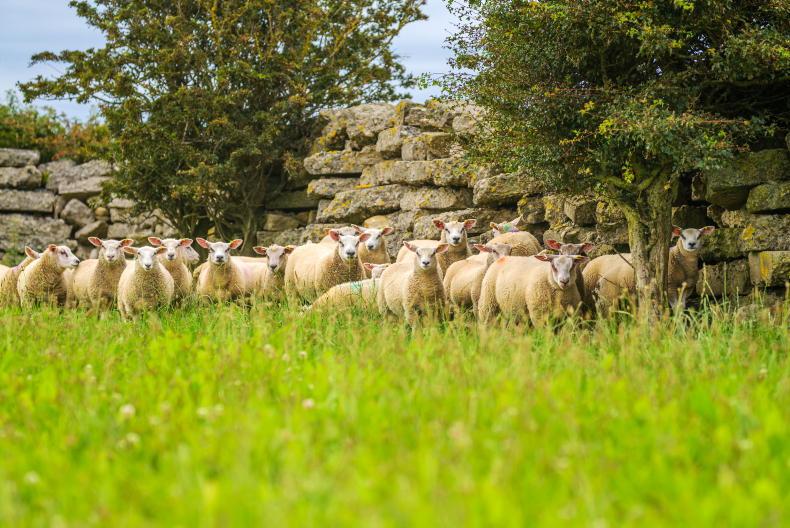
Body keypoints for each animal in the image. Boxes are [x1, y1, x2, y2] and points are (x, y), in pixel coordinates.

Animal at [582, 226, 714, 314]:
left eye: (699, 235)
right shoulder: (670, 286)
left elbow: (681, 306)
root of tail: (592, 260)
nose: (691, 244)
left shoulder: (687, 288)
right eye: (682, 236)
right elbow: (676, 307)